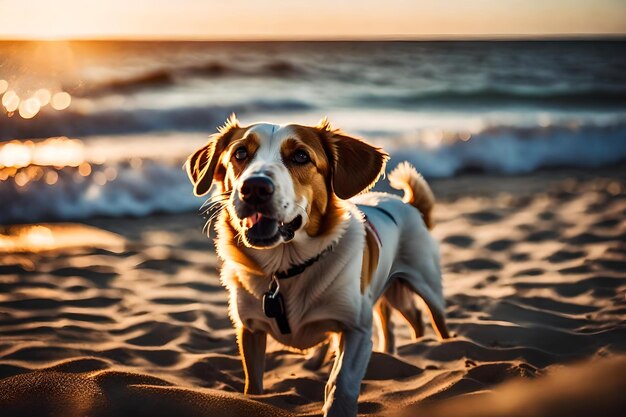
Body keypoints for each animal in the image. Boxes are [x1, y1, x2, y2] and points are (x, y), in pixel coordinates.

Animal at [185, 114, 448, 416]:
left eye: (301, 156)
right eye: (240, 153)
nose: (254, 188)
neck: (285, 268)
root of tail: (408, 204)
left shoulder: (356, 329)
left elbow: (341, 382)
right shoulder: (249, 329)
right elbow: (254, 385)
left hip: (427, 286)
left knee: (433, 320)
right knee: (398, 319)